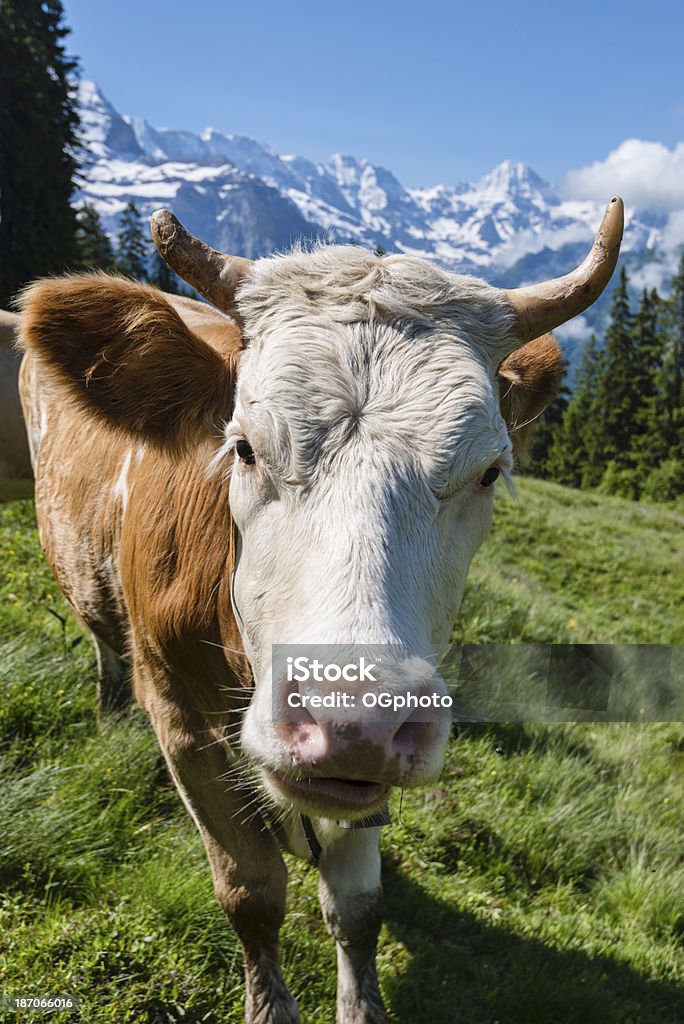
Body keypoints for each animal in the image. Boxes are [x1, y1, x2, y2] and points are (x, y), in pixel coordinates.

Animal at [17, 197, 626, 1024]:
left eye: (488, 472)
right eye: (244, 447)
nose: (352, 719)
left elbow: (359, 908)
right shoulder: (179, 718)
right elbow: (251, 893)